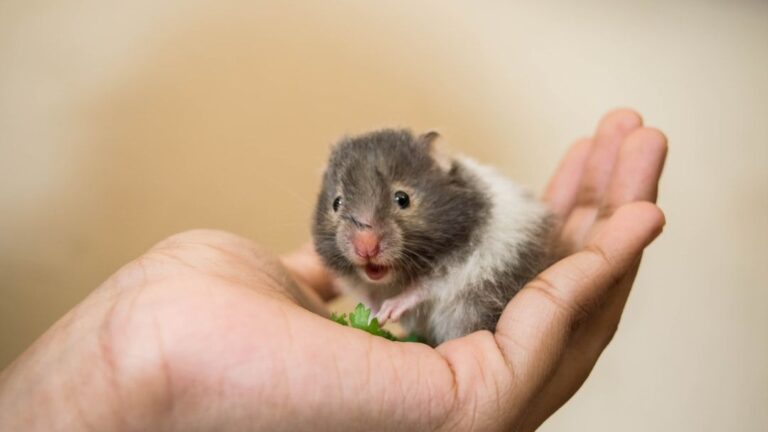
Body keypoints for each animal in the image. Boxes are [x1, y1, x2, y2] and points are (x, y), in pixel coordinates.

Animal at [312, 129, 554, 346]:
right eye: (336, 203)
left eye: (402, 198)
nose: (365, 248)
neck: (394, 279)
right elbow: (368, 297)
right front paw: (374, 316)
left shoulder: (459, 264)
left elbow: (423, 287)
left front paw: (389, 310)